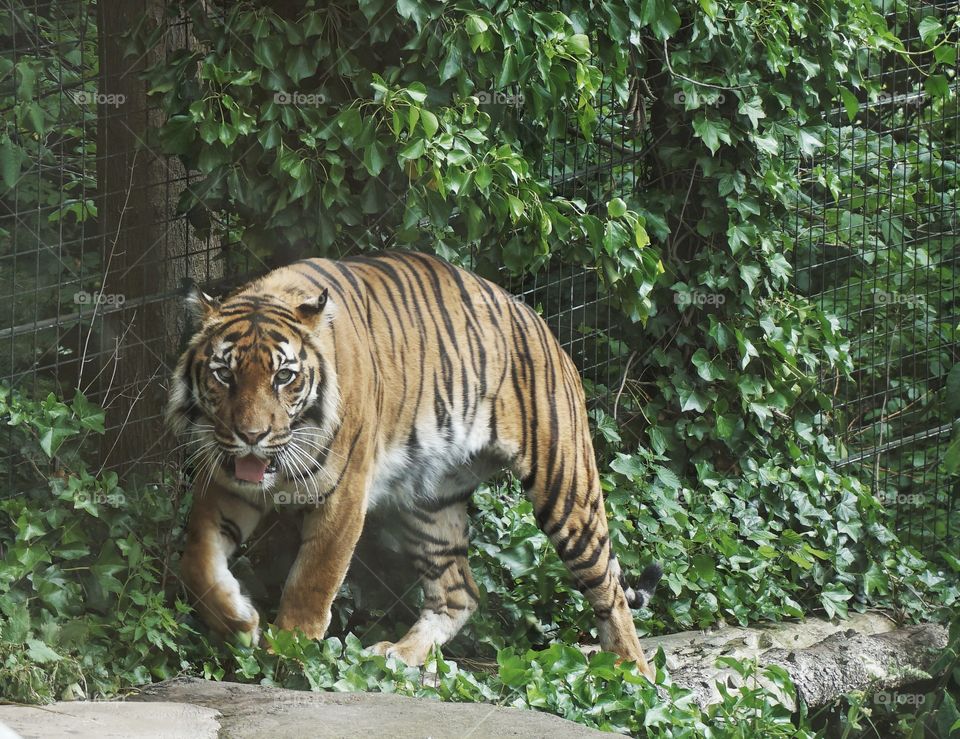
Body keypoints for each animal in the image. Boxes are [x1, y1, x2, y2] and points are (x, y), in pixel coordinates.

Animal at [166, 250, 663, 678]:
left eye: (283, 376)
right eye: (224, 374)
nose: (252, 436)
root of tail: (538, 321)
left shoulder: (343, 496)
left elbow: (311, 580)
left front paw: (286, 651)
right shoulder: (225, 482)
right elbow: (197, 563)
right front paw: (240, 622)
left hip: (565, 488)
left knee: (609, 588)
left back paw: (630, 671)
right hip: (430, 503)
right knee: (459, 593)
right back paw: (397, 654)